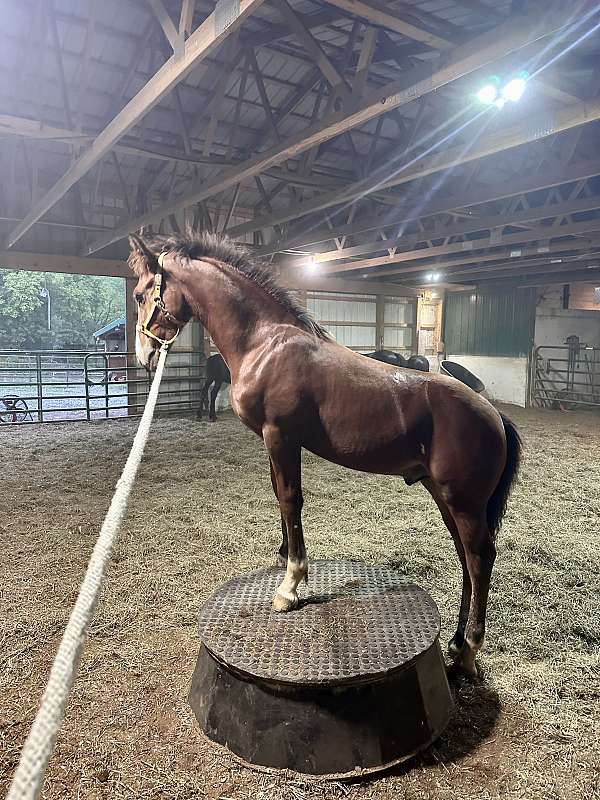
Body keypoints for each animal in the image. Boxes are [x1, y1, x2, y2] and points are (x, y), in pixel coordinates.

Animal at [130, 233, 520, 680]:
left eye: (141, 294)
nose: (144, 356)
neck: (266, 342)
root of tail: (493, 414)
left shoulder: (281, 437)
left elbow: (290, 499)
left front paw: (290, 585)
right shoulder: (273, 442)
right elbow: (279, 497)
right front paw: (284, 558)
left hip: (464, 502)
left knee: (480, 558)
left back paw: (470, 648)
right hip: (446, 498)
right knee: (466, 557)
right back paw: (456, 643)